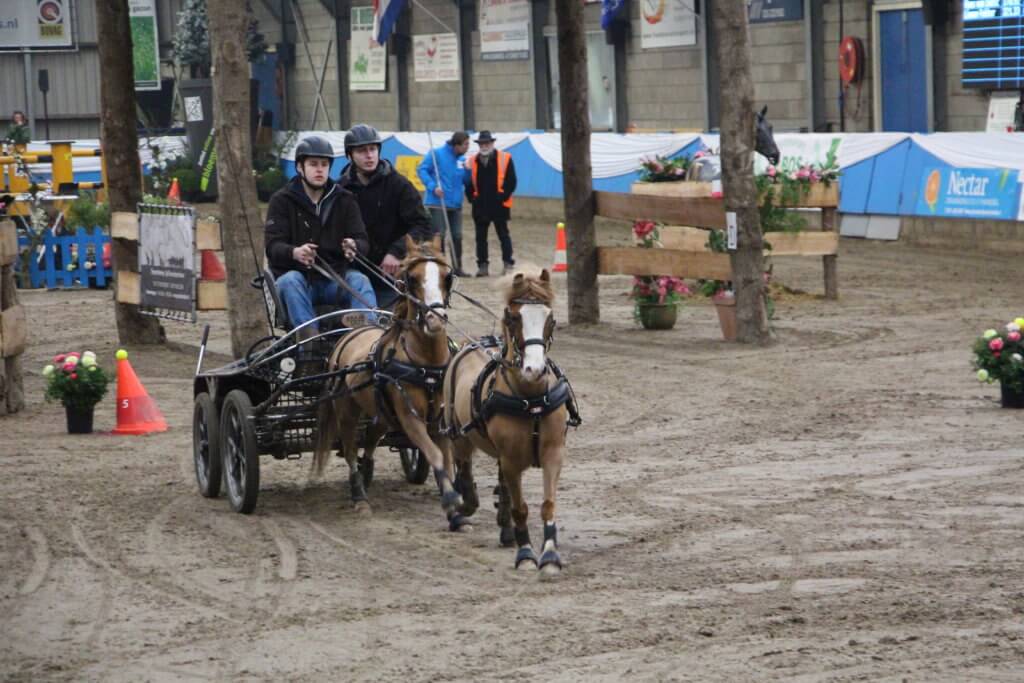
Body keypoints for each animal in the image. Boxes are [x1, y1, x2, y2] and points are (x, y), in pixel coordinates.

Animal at [311, 235, 464, 524]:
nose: (435, 320)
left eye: (447, 276)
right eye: (412, 278)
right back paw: (359, 495)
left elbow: (448, 461)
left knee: (371, 439)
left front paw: (458, 507)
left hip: (381, 412)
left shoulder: (439, 421)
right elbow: (436, 455)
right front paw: (452, 503)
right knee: (350, 448)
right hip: (347, 410)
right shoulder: (410, 419)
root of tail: (348, 333)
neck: (425, 364)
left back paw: (366, 473)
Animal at [444, 270, 581, 573]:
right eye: (515, 318)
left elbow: (547, 504)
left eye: (550, 318)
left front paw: (550, 555)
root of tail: (471, 345)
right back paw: (461, 508)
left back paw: (505, 529)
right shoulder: (510, 459)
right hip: (458, 437)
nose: (534, 369)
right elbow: (521, 508)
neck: (531, 399)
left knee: (501, 485)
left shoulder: (553, 453)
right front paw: (526, 553)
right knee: (464, 469)